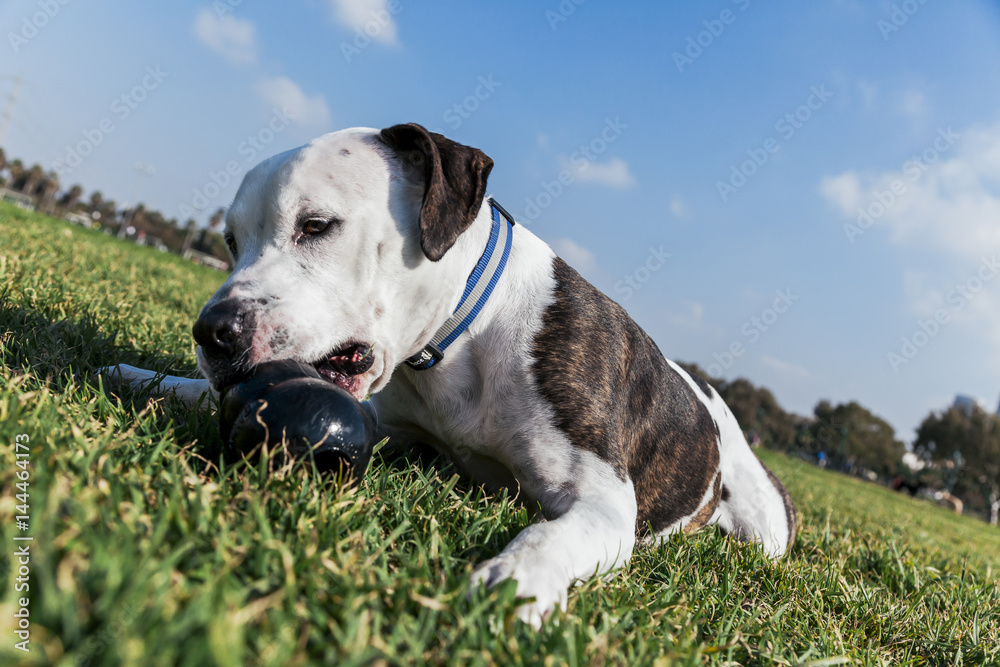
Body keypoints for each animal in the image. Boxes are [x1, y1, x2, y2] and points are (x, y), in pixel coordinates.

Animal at [111, 122, 796, 628]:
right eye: (230, 241)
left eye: (316, 226)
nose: (213, 332)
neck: (464, 335)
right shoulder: (387, 423)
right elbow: (192, 392)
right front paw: (141, 375)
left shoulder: (602, 500)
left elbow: (551, 536)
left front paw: (515, 580)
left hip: (765, 527)